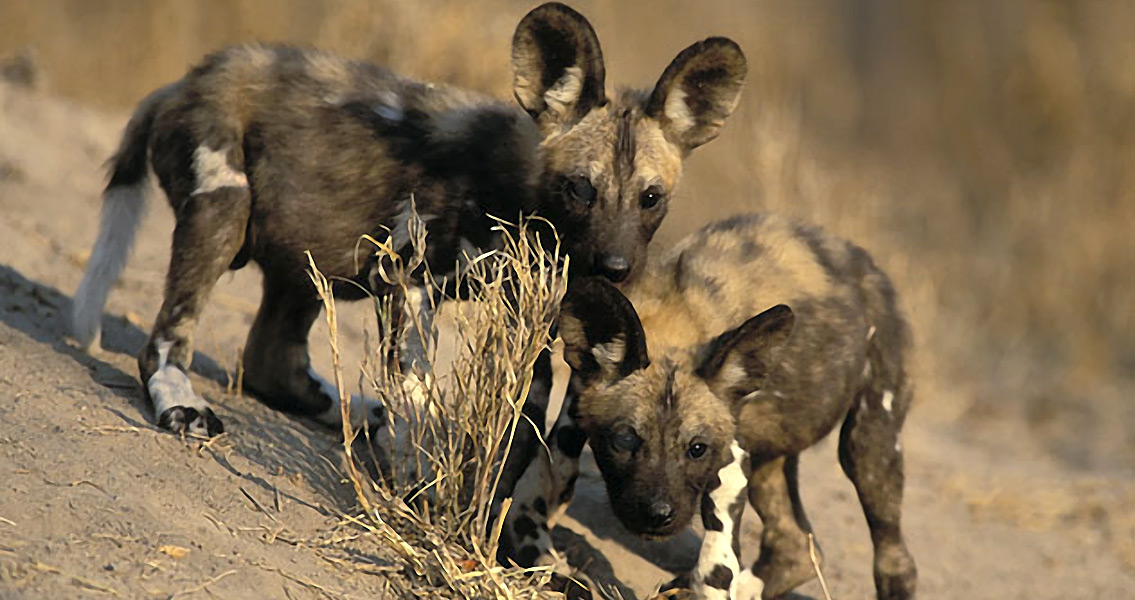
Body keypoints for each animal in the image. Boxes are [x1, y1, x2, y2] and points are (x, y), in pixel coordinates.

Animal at [68, 3, 744, 440]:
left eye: (651, 199)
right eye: (581, 189)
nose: (616, 268)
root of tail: (190, 77)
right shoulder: (410, 281)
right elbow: (420, 391)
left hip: (310, 258)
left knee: (268, 357)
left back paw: (343, 412)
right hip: (223, 208)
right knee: (167, 339)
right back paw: (180, 403)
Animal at [519, 215, 917, 598]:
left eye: (697, 449)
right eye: (625, 439)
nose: (658, 514)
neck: (678, 321)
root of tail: (862, 259)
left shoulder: (730, 454)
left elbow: (717, 561)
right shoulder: (574, 406)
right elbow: (550, 475)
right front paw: (537, 552)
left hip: (868, 447)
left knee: (896, 560)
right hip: (770, 462)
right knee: (797, 548)